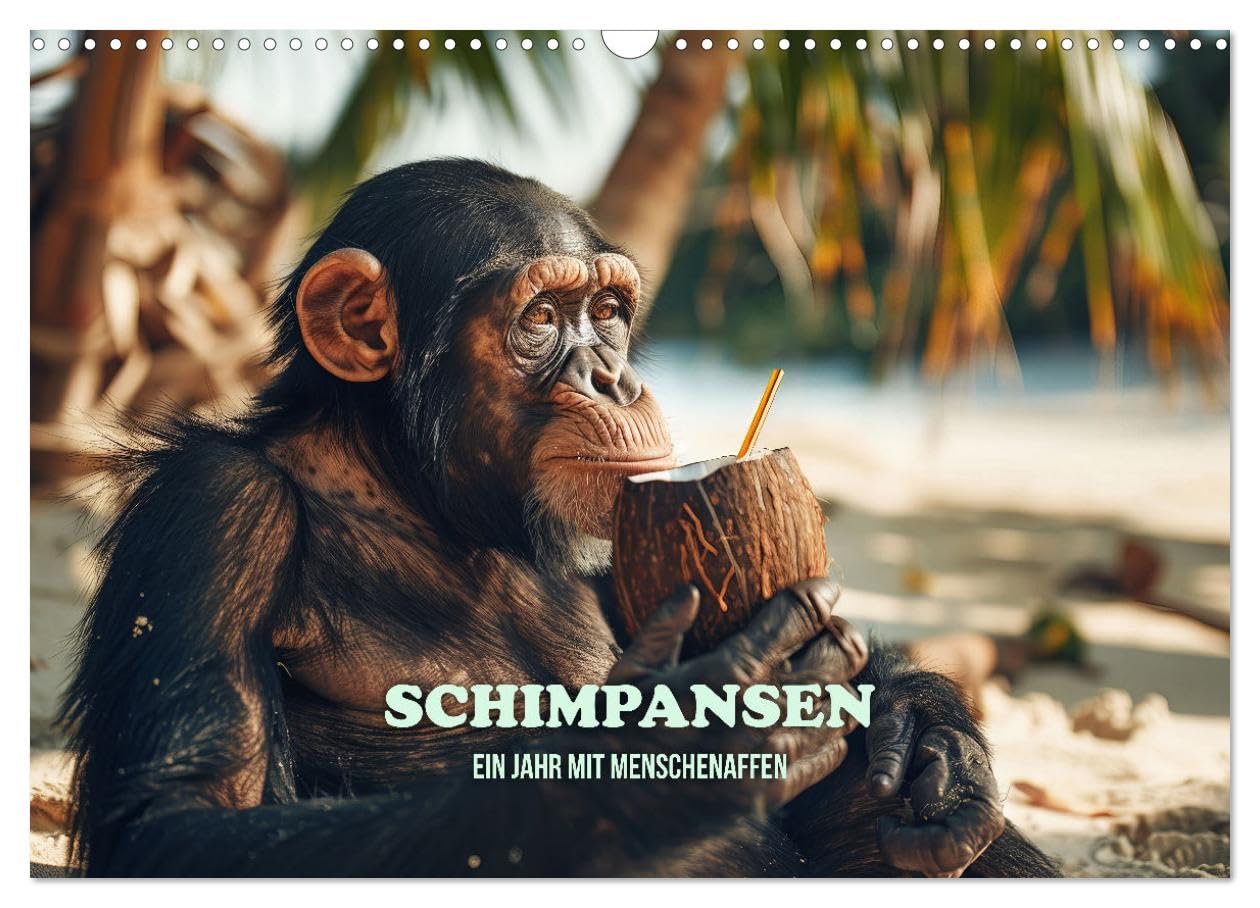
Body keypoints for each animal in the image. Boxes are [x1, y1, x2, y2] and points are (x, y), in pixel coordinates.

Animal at [60, 158, 1058, 877]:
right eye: (542, 315)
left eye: (608, 311)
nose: (615, 378)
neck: (420, 501)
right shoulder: (215, 512)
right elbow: (182, 821)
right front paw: (665, 755)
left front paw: (928, 733)